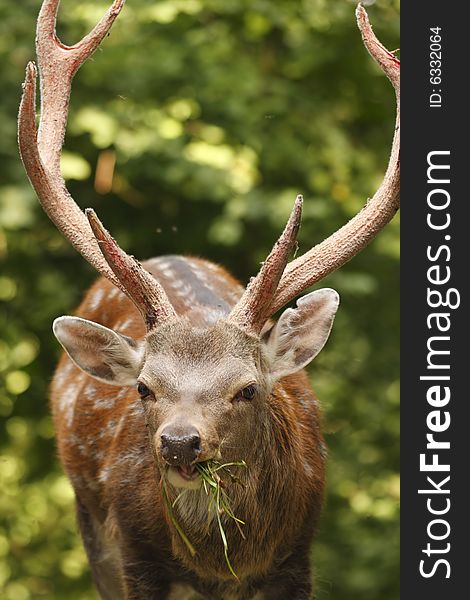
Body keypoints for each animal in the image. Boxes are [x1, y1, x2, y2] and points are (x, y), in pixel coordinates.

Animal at [18, 1, 400, 600]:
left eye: (248, 389)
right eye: (144, 388)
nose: (180, 443)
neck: (225, 566)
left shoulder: (299, 557)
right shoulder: (136, 556)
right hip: (89, 520)